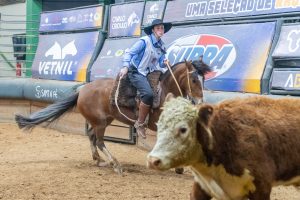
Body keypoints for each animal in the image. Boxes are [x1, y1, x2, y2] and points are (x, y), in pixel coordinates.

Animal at [15, 58, 210, 173]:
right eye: (194, 79)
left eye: (203, 79)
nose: (200, 100)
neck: (163, 93)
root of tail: (82, 90)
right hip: (100, 123)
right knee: (100, 141)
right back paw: (115, 164)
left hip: (103, 120)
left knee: (92, 137)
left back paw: (98, 160)